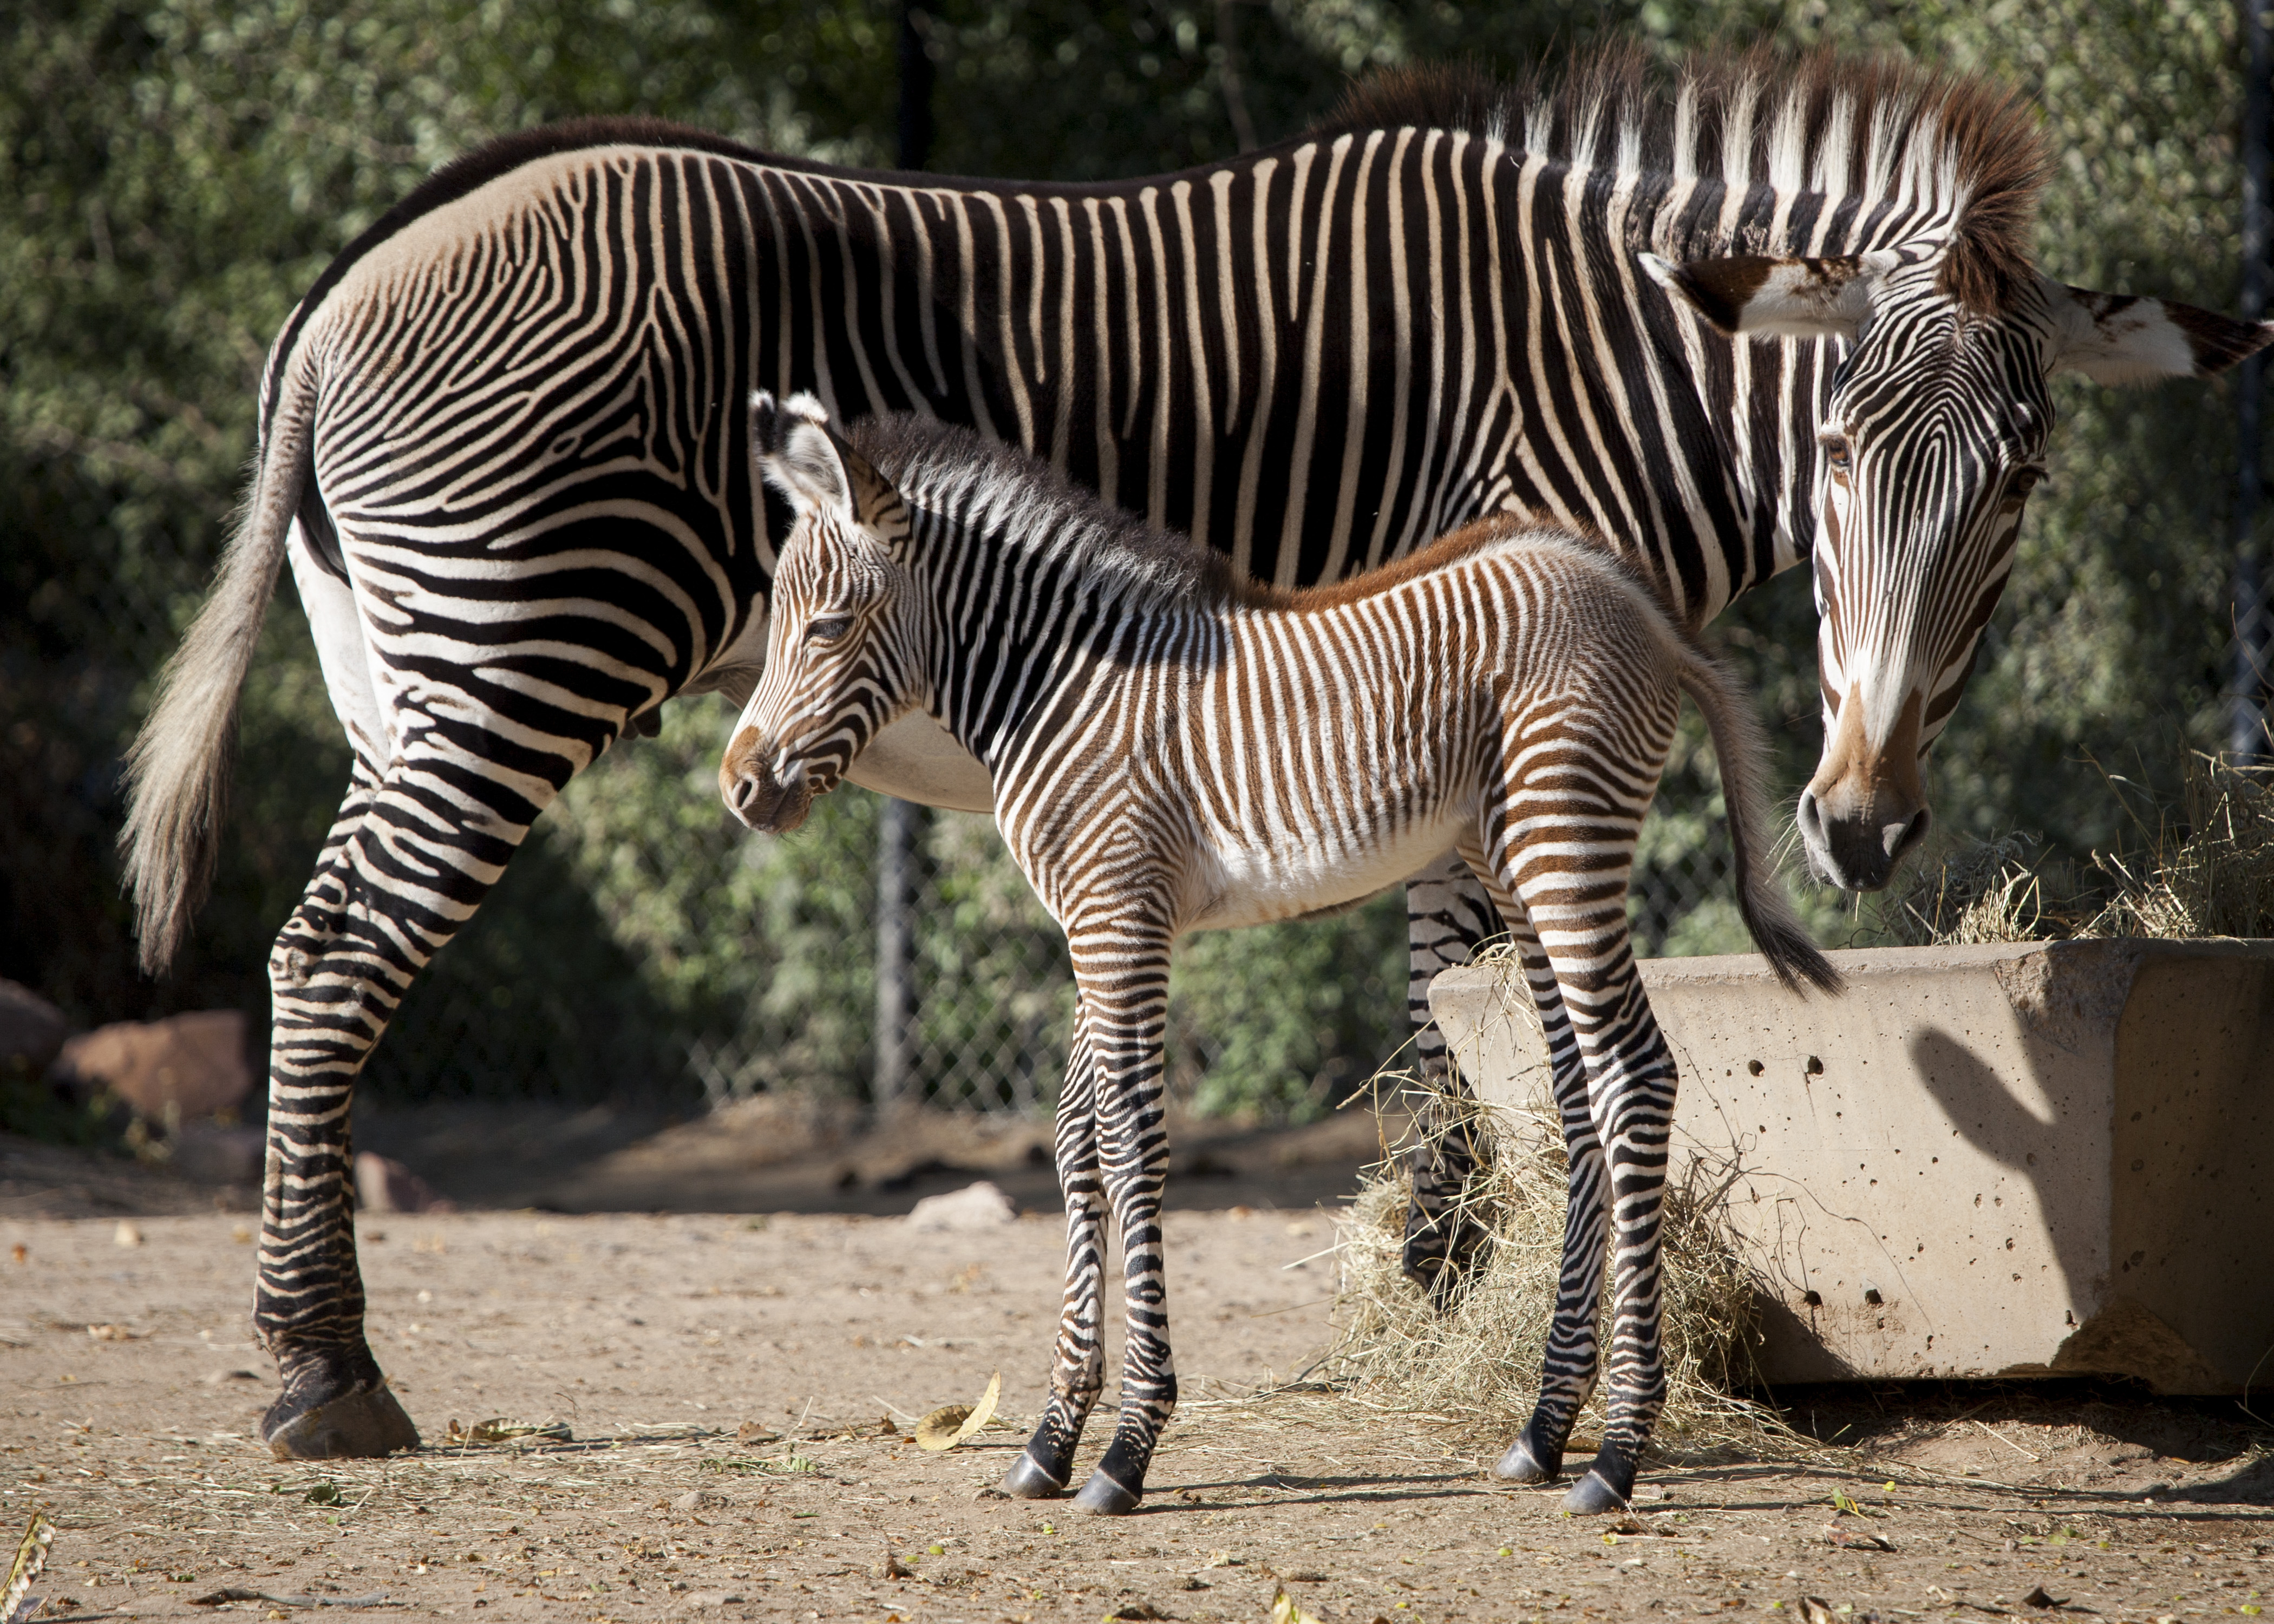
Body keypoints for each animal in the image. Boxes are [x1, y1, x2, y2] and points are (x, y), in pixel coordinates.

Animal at [728, 391, 1846, 1501]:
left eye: (827, 626)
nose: (738, 789)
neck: (1064, 688)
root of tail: (1636, 600)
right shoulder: (1096, 922)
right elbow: (1075, 1143)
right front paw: (1050, 1441)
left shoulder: (1120, 919)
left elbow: (1130, 1144)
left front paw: (1128, 1448)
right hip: (1515, 867)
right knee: (1582, 1099)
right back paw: (1542, 1431)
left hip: (1564, 845)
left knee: (1637, 1076)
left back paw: (1616, 1454)